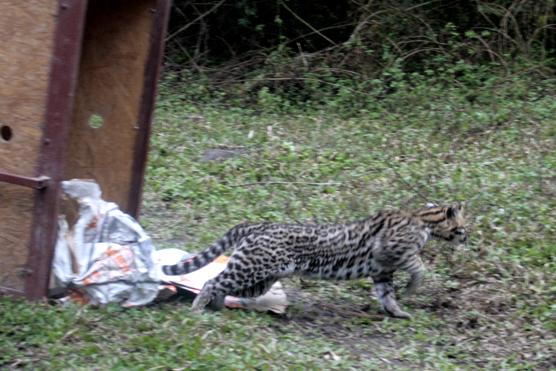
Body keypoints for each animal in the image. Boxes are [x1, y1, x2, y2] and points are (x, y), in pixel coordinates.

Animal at [163, 202, 466, 318]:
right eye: (464, 226)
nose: (468, 238)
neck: (424, 220)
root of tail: (257, 225)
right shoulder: (392, 253)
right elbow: (419, 266)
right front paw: (413, 287)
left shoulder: (382, 271)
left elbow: (387, 295)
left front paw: (398, 312)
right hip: (250, 268)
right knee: (212, 282)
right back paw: (198, 308)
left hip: (259, 279)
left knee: (222, 286)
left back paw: (216, 307)